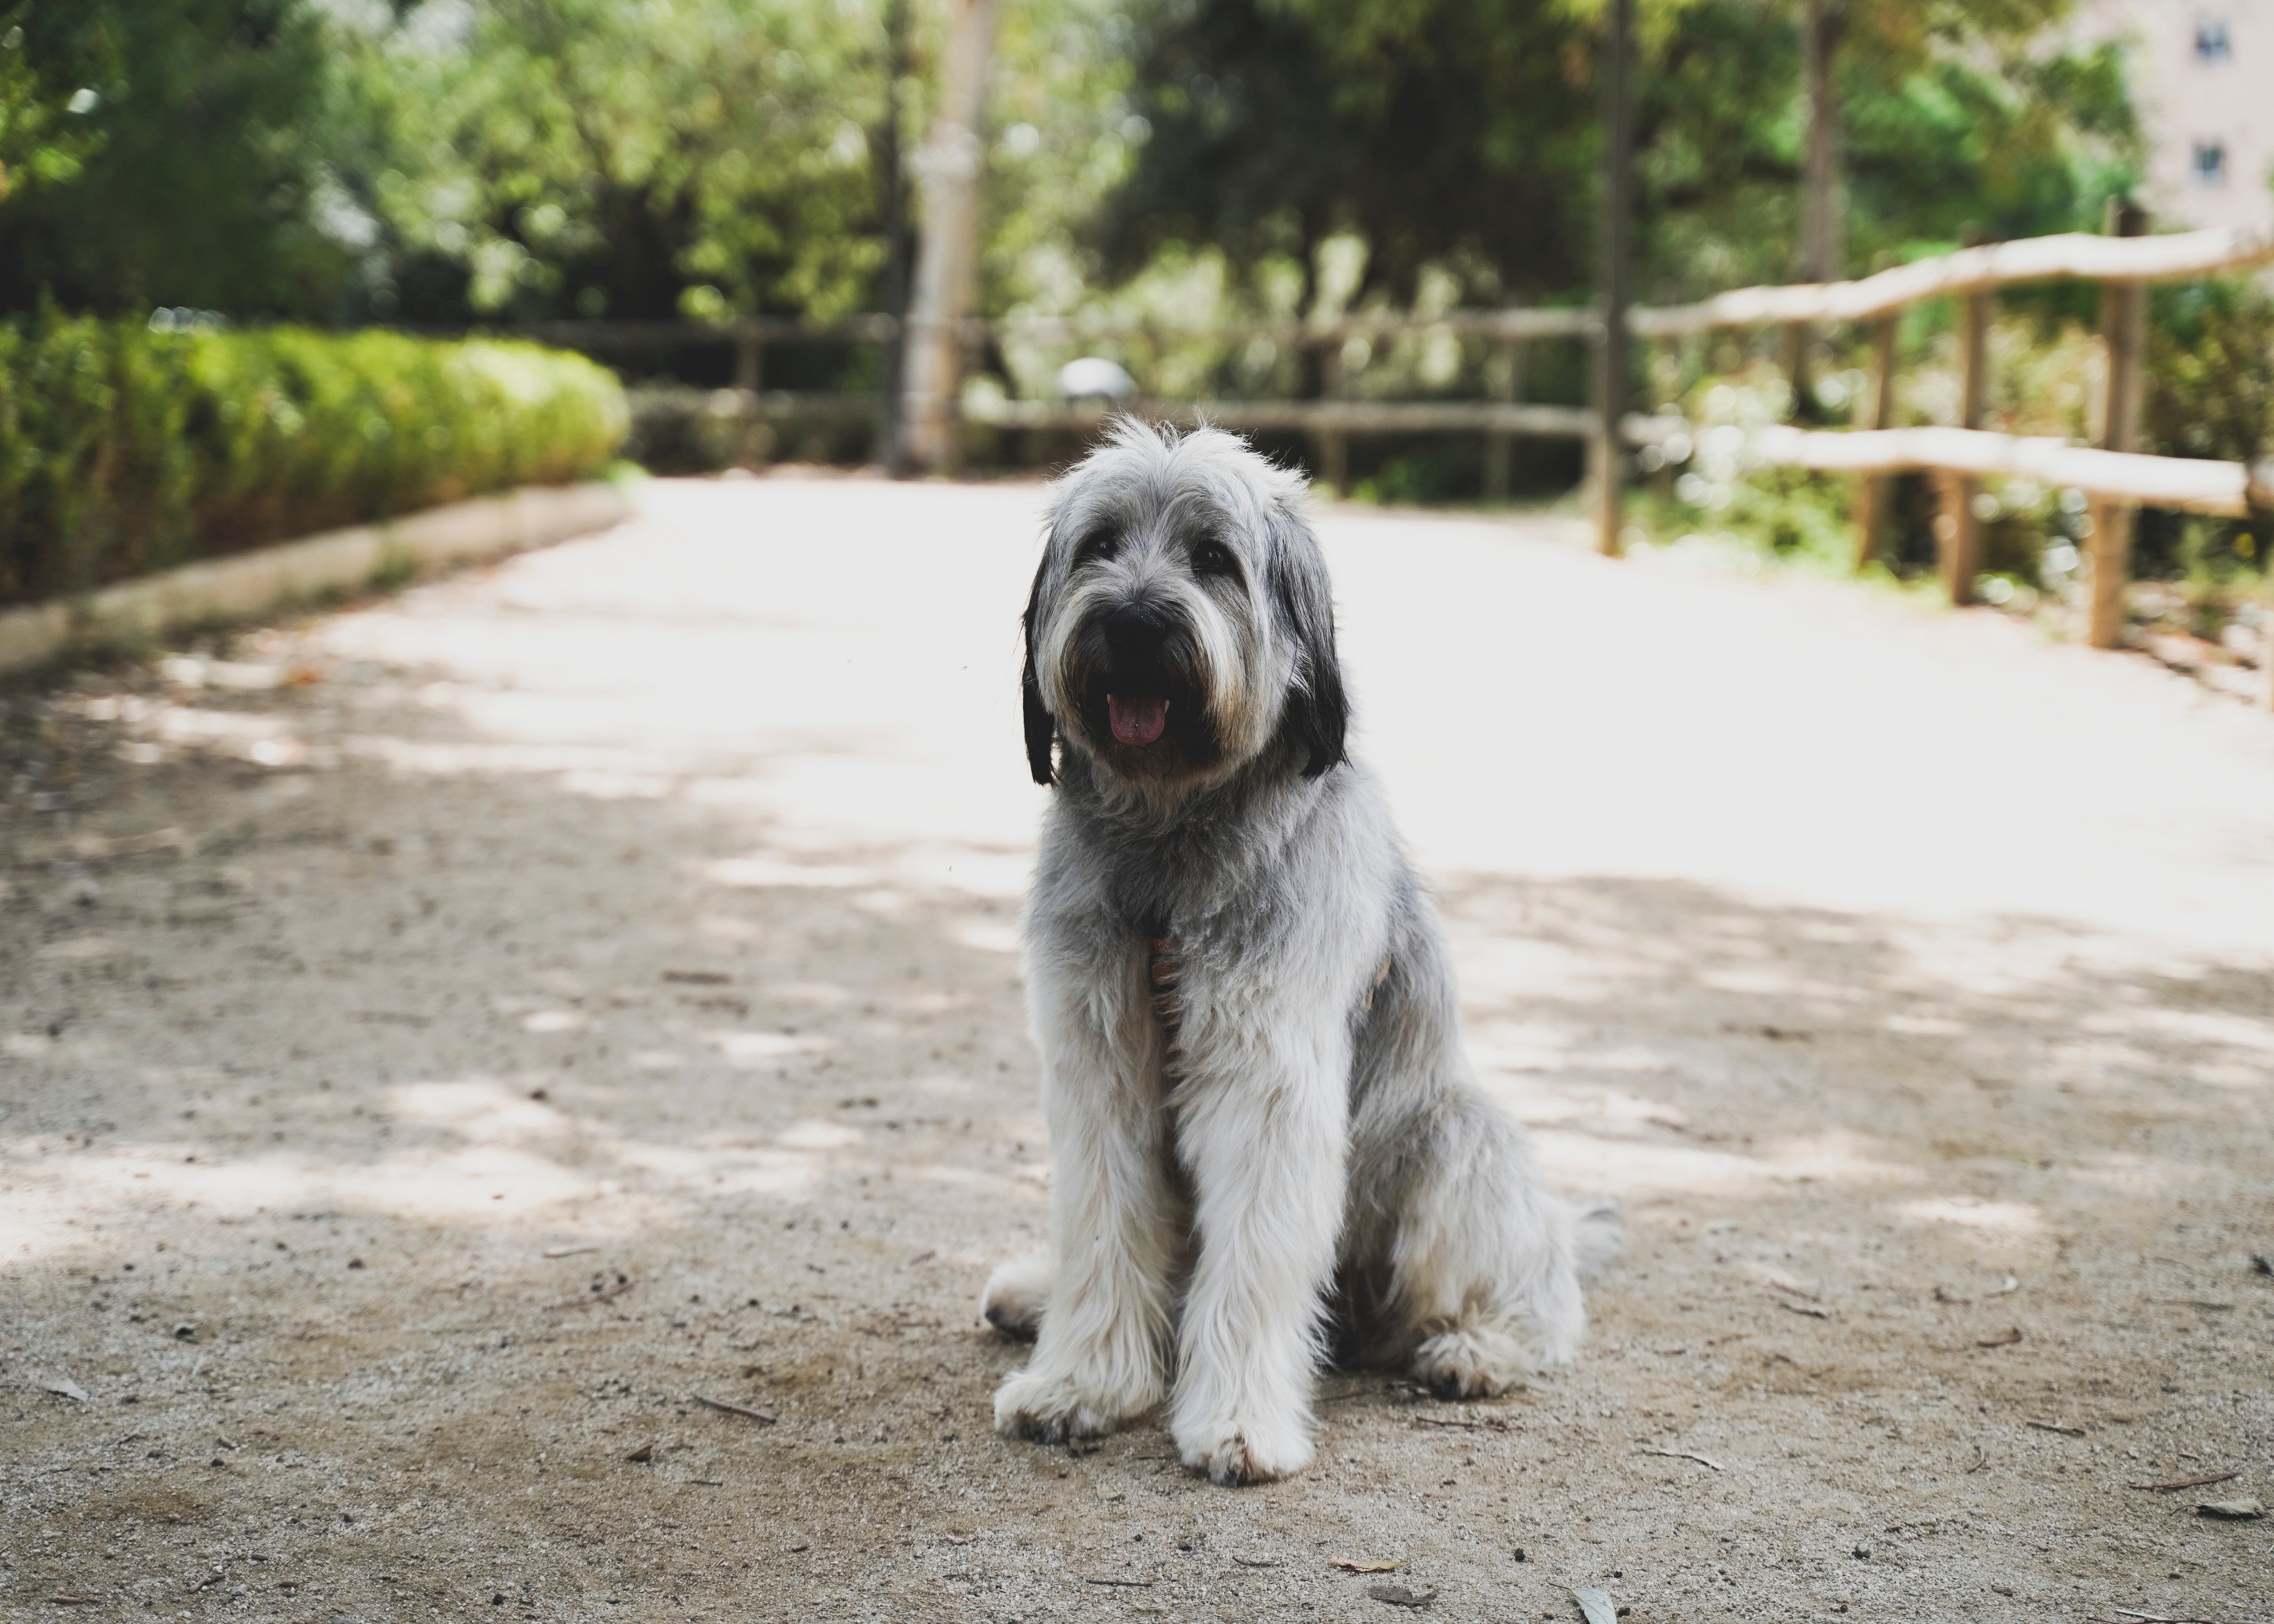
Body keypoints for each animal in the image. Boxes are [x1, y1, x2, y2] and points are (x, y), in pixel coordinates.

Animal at [987, 418, 1628, 1483]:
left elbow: (1253, 1256)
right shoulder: (1098, 1057)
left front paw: (1238, 1422)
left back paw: (1478, 1348)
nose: (1131, 623)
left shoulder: (1264, 1069)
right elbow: (1104, 1221)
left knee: (1537, 1297)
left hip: (1453, 1139)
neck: (1170, 843)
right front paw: (1081, 1381)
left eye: (1213, 558)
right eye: (1101, 546)